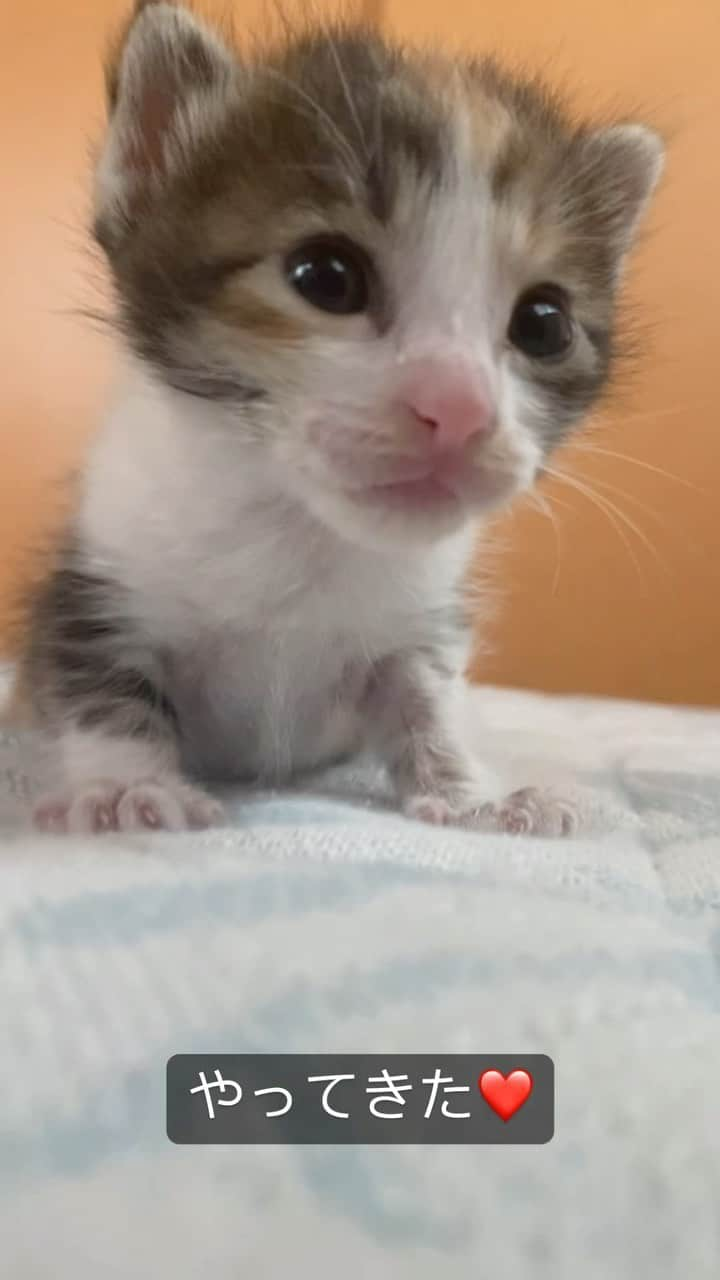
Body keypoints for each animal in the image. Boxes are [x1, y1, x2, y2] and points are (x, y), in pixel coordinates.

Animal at [20, 0, 661, 834]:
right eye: (326, 276)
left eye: (543, 323)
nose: (459, 409)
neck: (301, 533)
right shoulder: (96, 585)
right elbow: (102, 690)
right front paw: (128, 788)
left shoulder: (418, 626)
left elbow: (430, 703)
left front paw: (474, 796)